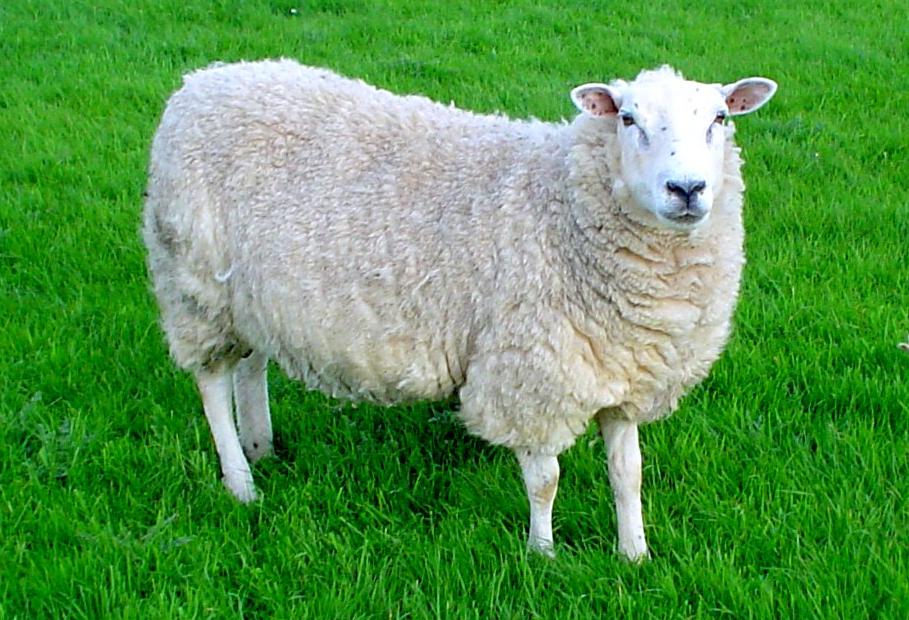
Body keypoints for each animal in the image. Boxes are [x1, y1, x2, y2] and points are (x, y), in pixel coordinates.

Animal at [143, 59, 777, 560]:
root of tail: (201, 81)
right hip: (193, 284)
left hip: (248, 296)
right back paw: (241, 481)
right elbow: (545, 480)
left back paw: (263, 447)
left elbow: (629, 475)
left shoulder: (620, 370)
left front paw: (634, 554)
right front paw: (542, 555)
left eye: (720, 119)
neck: (563, 205)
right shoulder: (530, 373)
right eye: (627, 119)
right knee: (212, 382)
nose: (687, 189)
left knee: (251, 367)